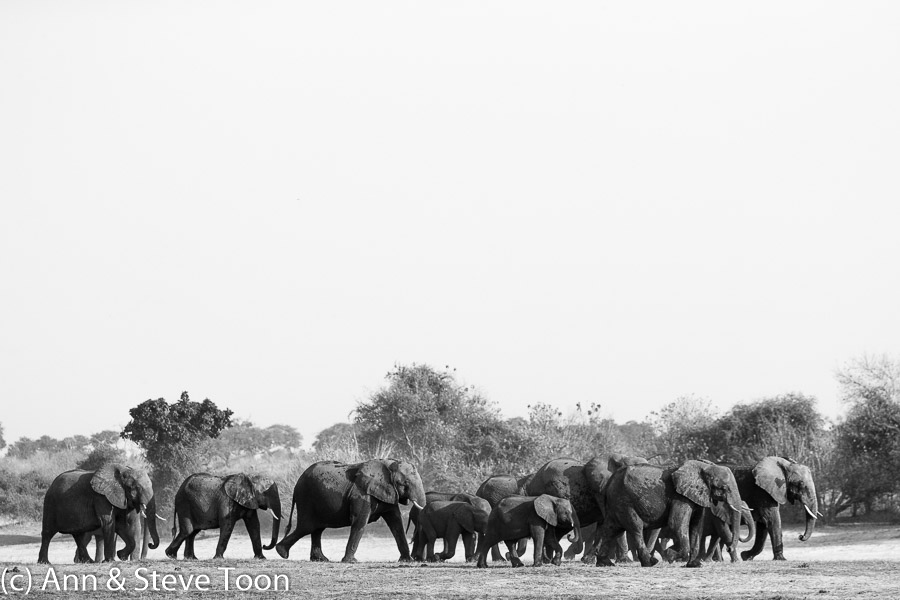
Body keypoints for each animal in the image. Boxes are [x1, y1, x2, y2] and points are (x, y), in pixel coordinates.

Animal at [275, 459, 426, 563]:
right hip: (306, 498)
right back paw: (282, 552)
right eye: (404, 483)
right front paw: (351, 561)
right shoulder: (362, 494)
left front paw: (407, 560)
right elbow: (359, 522)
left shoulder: (388, 493)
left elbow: (396, 523)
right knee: (307, 526)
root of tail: (296, 484)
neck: (388, 464)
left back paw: (320, 559)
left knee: (317, 529)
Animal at [596, 460, 747, 568]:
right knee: (635, 527)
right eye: (724, 488)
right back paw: (650, 563)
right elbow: (676, 524)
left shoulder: (696, 497)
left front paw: (694, 565)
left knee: (611, 529)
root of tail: (609, 482)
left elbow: (696, 527)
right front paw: (670, 555)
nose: (729, 548)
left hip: (616, 504)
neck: (704, 467)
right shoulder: (680, 497)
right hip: (625, 502)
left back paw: (605, 563)